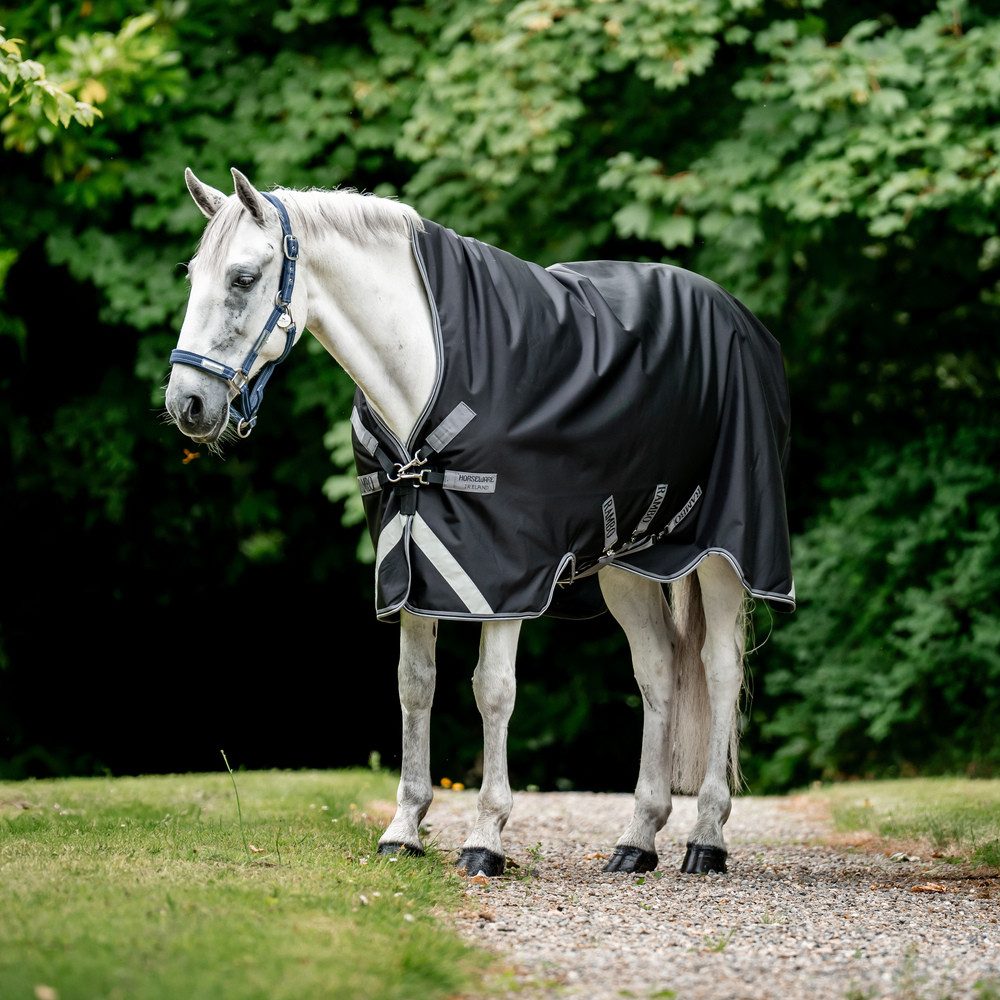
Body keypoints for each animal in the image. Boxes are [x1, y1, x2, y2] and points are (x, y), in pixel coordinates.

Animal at [165, 166, 795, 878]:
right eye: (193, 275)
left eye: (244, 277)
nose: (187, 404)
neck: (424, 367)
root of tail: (738, 317)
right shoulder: (410, 562)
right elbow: (415, 686)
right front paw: (404, 829)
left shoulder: (505, 574)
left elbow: (492, 690)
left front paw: (486, 837)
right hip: (627, 563)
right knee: (658, 671)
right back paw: (637, 839)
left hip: (723, 555)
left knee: (719, 669)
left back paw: (706, 838)